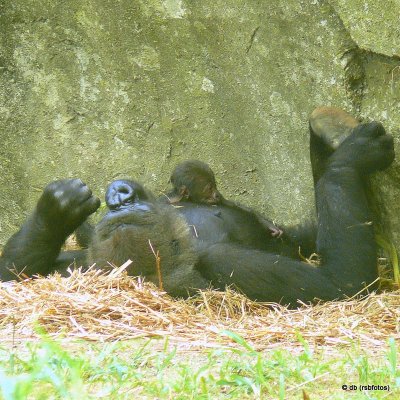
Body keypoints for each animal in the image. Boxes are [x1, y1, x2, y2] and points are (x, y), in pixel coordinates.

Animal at [0, 107, 394, 306]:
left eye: (121, 208)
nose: (118, 195)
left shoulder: (81, 264)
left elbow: (13, 274)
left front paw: (56, 209)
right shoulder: (220, 261)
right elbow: (343, 282)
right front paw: (352, 158)